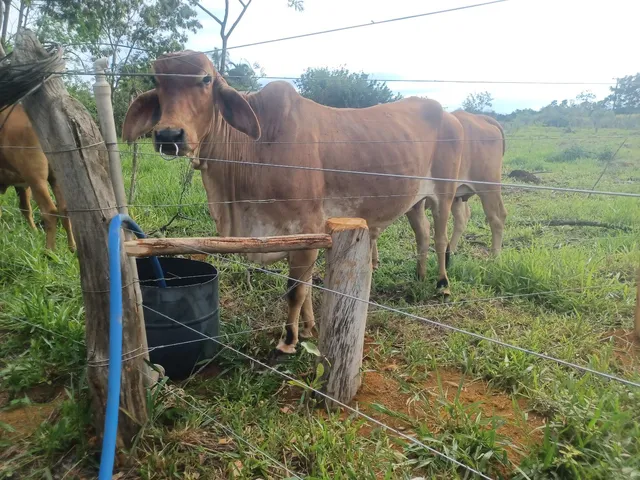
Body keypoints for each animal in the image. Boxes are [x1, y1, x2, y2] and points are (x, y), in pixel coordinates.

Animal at [0, 104, 76, 251]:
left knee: (49, 211)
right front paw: (34, 232)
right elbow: (25, 208)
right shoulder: (21, 184)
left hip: (36, 178)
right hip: (55, 178)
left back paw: (49, 251)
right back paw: (72, 247)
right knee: (64, 209)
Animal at [122, 50, 463, 355]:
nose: (169, 135)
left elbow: (296, 288)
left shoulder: (306, 227)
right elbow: (307, 287)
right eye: (157, 80)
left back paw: (442, 284)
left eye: (206, 79)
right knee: (423, 234)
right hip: (415, 201)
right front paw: (309, 328)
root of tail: (448, 114)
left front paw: (288, 339)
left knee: (441, 236)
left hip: (444, 194)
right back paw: (420, 275)